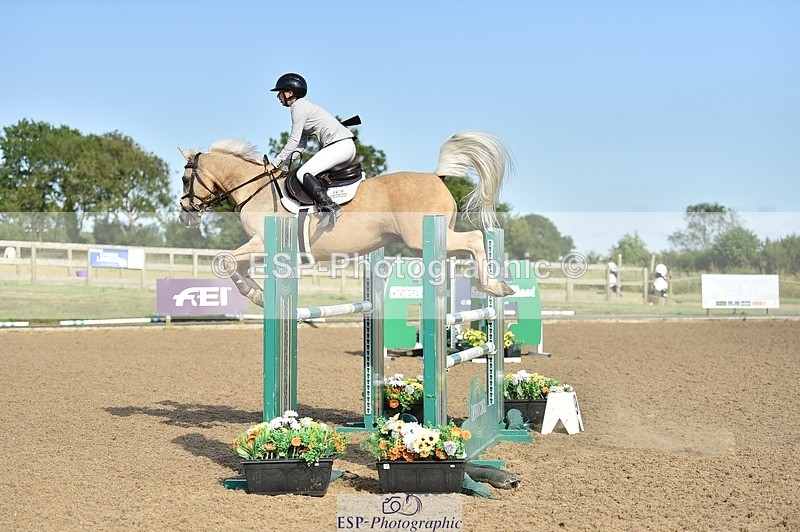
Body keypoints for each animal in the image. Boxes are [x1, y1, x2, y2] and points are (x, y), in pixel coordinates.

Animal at [178, 131, 515, 307]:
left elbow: (225, 260)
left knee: (475, 239)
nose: (185, 217)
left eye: (184, 180)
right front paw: (258, 293)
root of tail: (436, 177)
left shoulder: (262, 243)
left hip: (420, 239)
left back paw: (494, 287)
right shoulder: (261, 249)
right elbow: (236, 264)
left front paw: (255, 294)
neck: (256, 188)